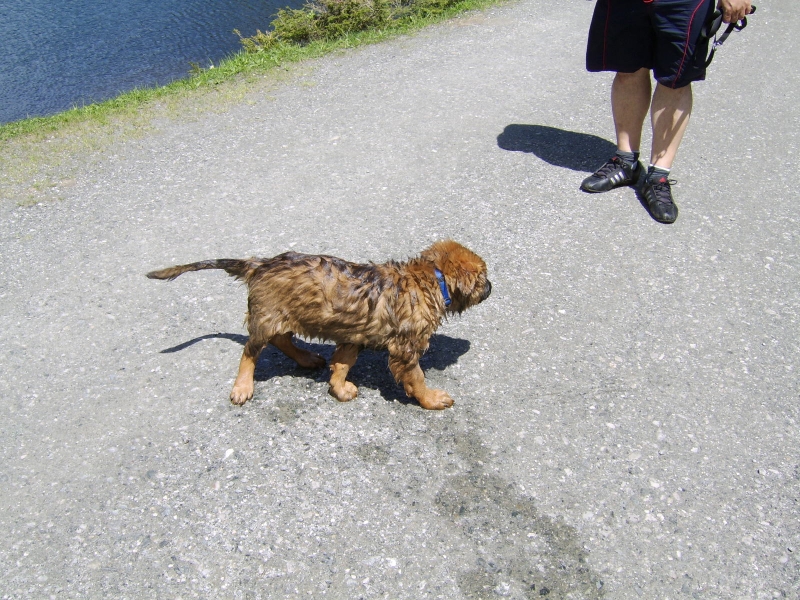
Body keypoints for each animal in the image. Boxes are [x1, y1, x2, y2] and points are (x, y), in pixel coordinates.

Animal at [147, 239, 490, 408]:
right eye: (483, 276)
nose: (492, 287)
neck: (431, 279)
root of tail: (261, 264)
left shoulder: (354, 334)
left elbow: (342, 363)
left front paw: (339, 389)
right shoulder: (406, 348)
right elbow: (416, 378)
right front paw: (431, 399)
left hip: (285, 313)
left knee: (281, 339)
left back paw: (307, 358)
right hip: (267, 315)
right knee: (250, 351)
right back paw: (243, 387)